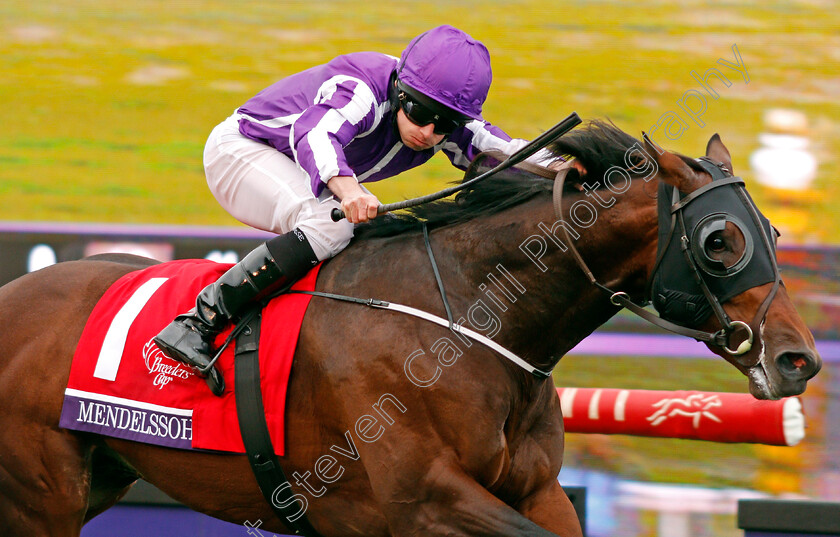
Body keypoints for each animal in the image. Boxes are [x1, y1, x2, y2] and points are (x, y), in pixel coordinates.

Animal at [0, 119, 820, 532]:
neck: (462, 320)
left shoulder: (540, 490)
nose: (799, 360)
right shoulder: (424, 502)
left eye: (775, 232)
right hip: (42, 499)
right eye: (720, 241)